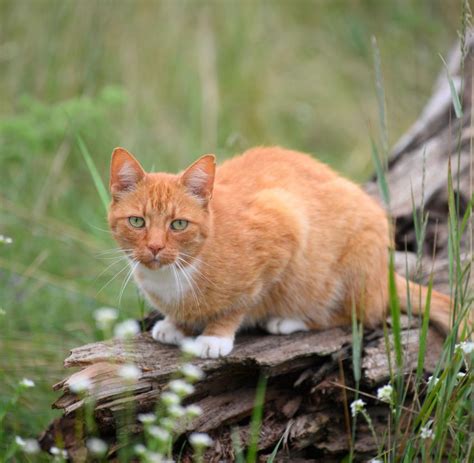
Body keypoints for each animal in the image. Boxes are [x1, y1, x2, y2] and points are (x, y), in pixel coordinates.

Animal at [107, 147, 452, 358]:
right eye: (137, 221)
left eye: (178, 224)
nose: (154, 247)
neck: (175, 273)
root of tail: (385, 274)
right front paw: (176, 324)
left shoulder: (285, 225)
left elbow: (240, 303)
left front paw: (216, 335)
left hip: (355, 265)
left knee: (360, 315)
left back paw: (289, 320)